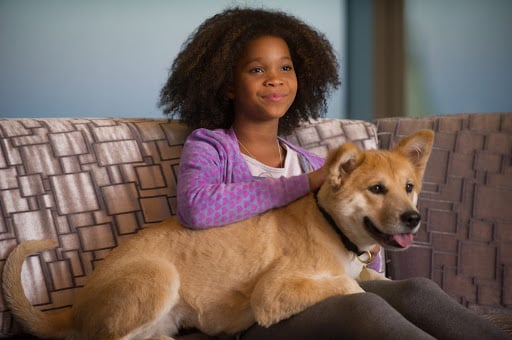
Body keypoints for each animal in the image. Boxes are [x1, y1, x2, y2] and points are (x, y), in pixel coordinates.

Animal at [4, 129, 434, 338]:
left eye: (409, 187)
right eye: (376, 189)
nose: (413, 218)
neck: (329, 224)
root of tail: (72, 312)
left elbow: (374, 278)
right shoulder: (271, 293)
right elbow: (351, 287)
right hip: (158, 276)